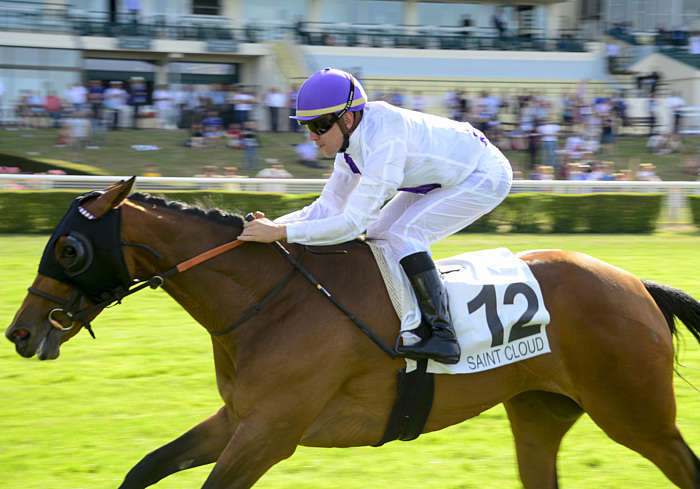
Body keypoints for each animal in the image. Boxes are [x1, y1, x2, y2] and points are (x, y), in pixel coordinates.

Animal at [5, 177, 700, 489]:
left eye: (68, 249)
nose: (20, 332)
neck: (271, 302)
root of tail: (637, 285)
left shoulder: (270, 433)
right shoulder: (240, 418)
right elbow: (147, 467)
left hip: (636, 415)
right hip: (539, 411)